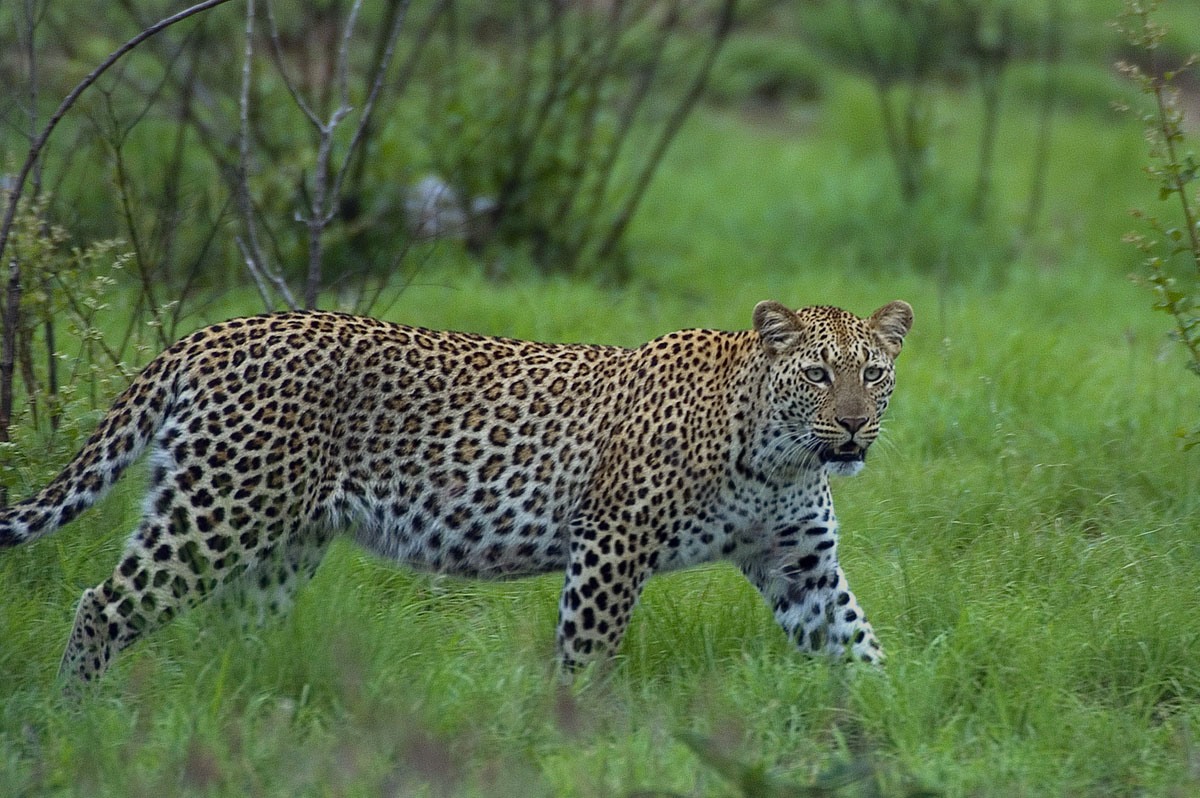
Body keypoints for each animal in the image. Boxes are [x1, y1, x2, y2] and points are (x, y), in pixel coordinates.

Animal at [0, 299, 913, 683]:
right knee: (103, 605)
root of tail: (208, 334)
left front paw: (896, 722)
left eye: (872, 373)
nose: (855, 427)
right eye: (818, 374)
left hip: (280, 539)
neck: (780, 456)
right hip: (219, 512)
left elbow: (858, 646)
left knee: (234, 631)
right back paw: (75, 719)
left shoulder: (799, 566)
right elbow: (585, 654)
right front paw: (576, 734)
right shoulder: (612, 543)